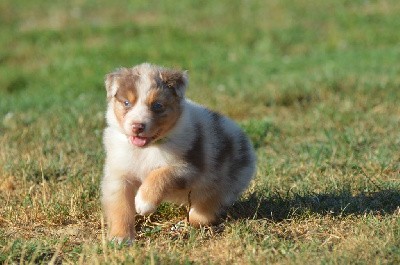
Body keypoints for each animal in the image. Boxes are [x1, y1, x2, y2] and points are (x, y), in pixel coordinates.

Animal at [100, 63, 256, 240]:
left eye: (157, 106)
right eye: (126, 103)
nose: (137, 126)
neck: (148, 148)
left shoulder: (187, 167)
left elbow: (160, 175)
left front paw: (144, 202)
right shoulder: (119, 176)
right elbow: (121, 208)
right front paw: (120, 237)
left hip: (223, 187)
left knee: (204, 211)